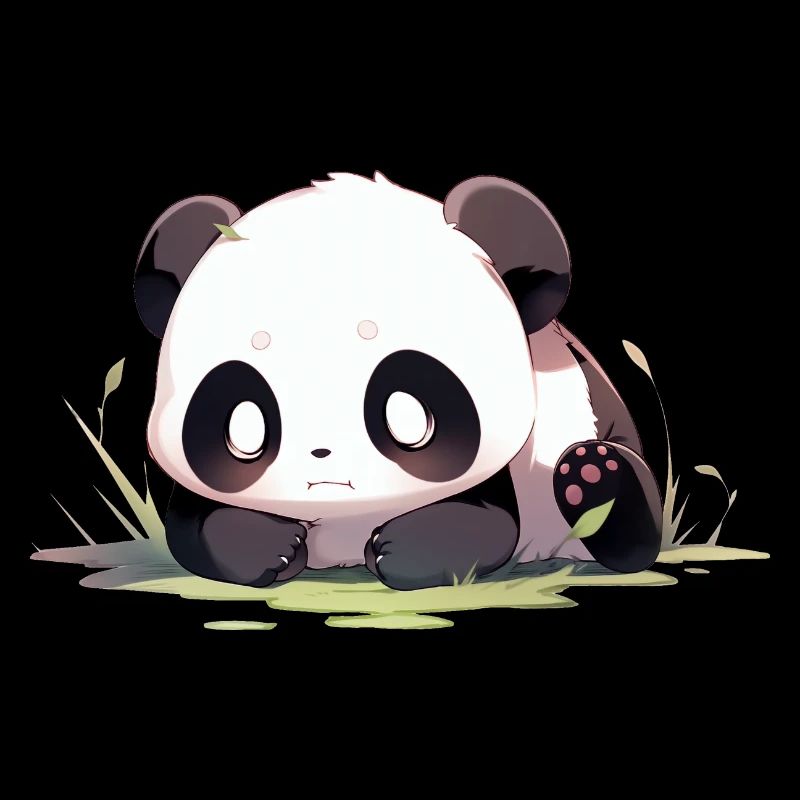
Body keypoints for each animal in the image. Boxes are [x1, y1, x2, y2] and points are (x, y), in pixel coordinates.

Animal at [134, 172, 662, 591]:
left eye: (405, 413)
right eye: (245, 423)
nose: (321, 455)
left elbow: (484, 524)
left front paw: (400, 550)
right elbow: (192, 524)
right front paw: (268, 544)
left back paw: (595, 478)